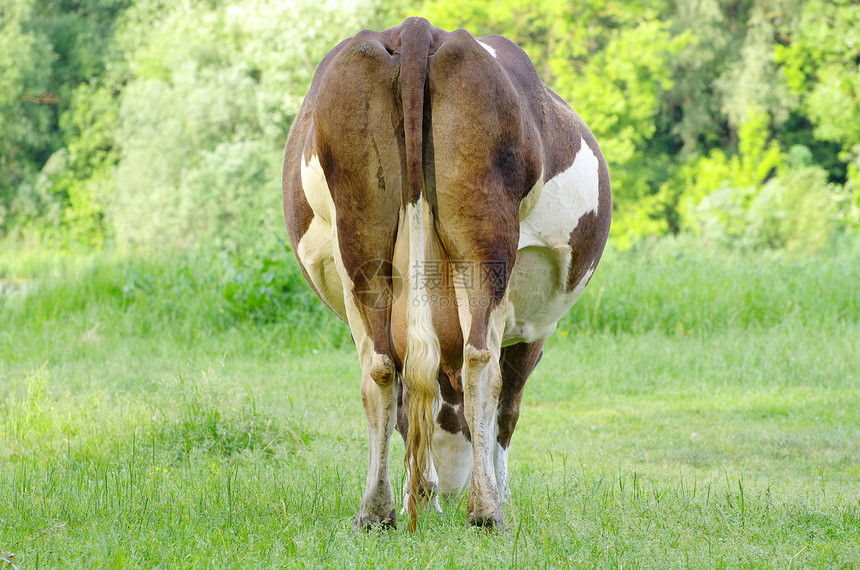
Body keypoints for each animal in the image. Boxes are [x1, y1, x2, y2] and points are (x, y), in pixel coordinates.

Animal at [282, 17, 612, 532]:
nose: (452, 490)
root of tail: (417, 29)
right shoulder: (532, 330)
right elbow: (505, 412)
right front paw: (498, 493)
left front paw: (423, 494)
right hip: (486, 245)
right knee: (481, 366)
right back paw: (487, 511)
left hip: (360, 248)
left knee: (382, 371)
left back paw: (377, 511)